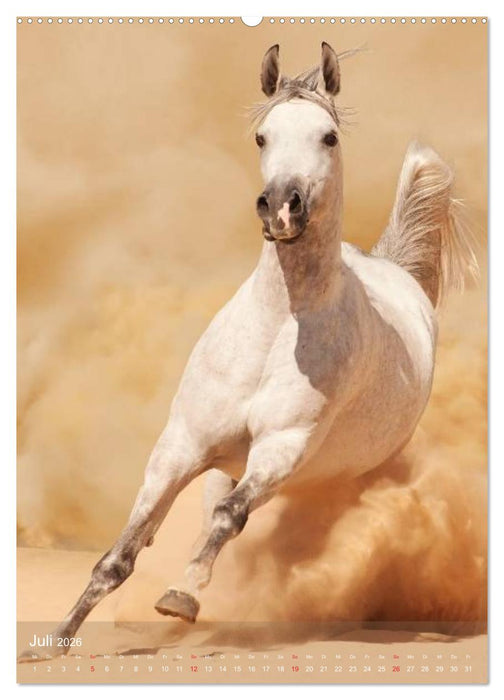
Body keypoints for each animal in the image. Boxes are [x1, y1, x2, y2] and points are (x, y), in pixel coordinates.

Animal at [19, 41, 478, 660]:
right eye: (263, 136)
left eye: (328, 137)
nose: (281, 206)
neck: (277, 329)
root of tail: (395, 269)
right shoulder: (181, 445)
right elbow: (121, 554)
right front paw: (53, 642)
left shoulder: (281, 449)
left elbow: (227, 519)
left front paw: (178, 600)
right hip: (225, 459)